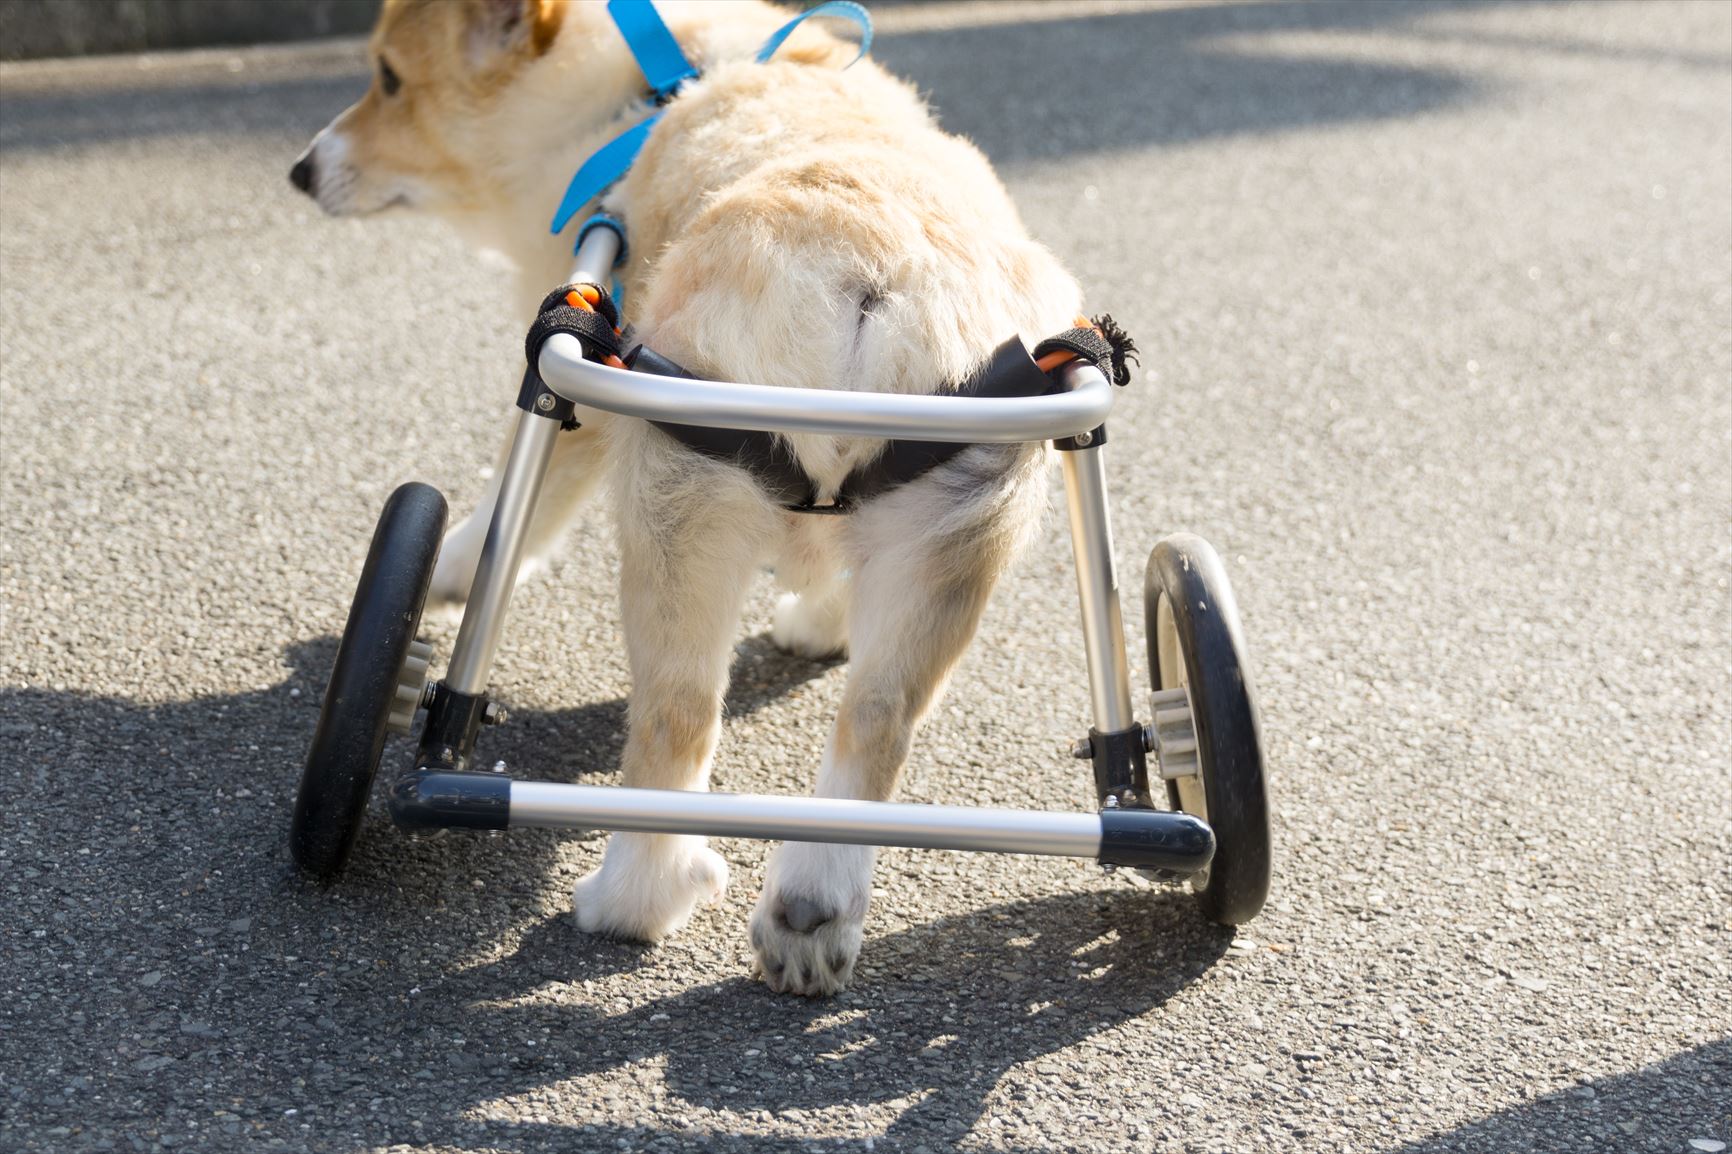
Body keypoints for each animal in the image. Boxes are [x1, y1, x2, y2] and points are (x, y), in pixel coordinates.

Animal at [294, 0, 1080, 991]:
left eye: (390, 79)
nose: (299, 170)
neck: (640, 93)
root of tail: (866, 268)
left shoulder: (583, 404)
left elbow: (516, 512)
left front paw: (451, 571)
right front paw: (819, 626)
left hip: (676, 518)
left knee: (675, 718)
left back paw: (631, 898)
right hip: (948, 539)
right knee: (875, 722)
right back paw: (811, 913)